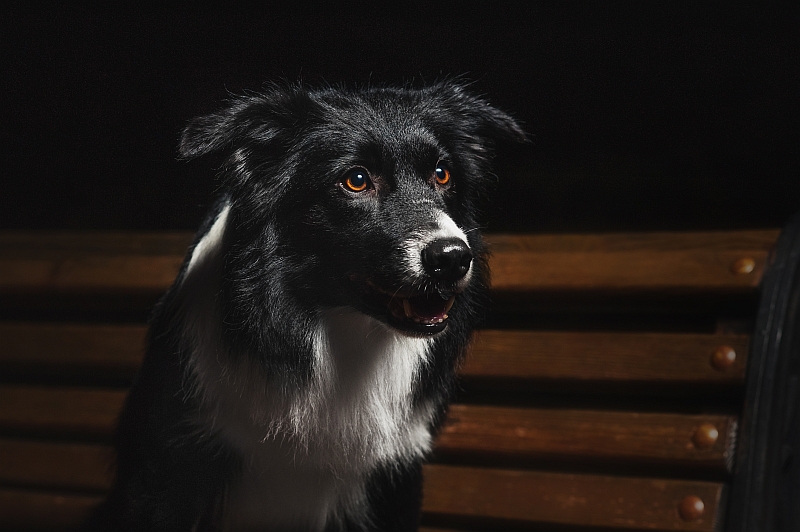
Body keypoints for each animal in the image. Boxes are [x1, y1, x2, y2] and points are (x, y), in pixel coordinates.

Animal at [87, 81, 524, 528]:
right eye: (356, 180)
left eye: (442, 173)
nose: (452, 258)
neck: (336, 330)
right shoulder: (167, 469)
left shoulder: (396, 475)